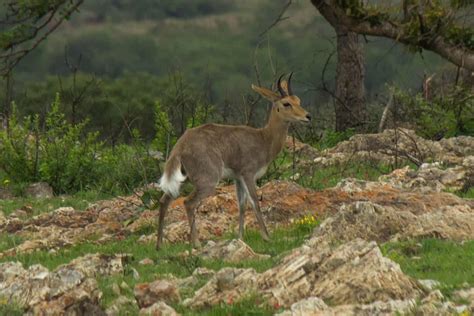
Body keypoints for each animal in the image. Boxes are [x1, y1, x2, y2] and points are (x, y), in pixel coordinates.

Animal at [156, 74, 312, 249]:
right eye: (286, 103)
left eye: (298, 100)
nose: (307, 116)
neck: (264, 139)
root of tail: (181, 146)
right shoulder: (248, 174)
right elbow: (255, 202)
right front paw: (266, 237)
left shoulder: (237, 177)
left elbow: (241, 205)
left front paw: (240, 236)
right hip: (207, 181)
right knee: (188, 202)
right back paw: (196, 243)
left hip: (184, 179)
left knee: (164, 200)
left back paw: (159, 246)